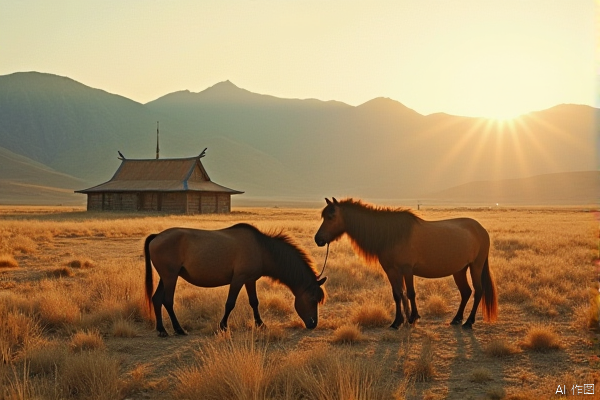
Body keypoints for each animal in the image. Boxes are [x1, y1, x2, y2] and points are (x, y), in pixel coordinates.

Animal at [144, 222, 328, 334]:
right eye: (313, 299)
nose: (313, 324)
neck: (262, 249)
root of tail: (157, 236)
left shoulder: (250, 280)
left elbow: (254, 302)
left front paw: (260, 324)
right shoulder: (238, 279)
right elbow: (230, 303)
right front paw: (223, 326)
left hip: (166, 277)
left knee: (157, 299)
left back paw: (161, 330)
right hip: (170, 277)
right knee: (167, 301)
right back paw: (178, 329)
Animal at [314, 198, 496, 330]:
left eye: (331, 217)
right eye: (323, 217)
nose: (318, 239)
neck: (391, 235)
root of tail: (481, 229)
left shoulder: (407, 270)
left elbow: (410, 293)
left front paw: (413, 317)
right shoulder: (391, 271)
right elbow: (397, 294)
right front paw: (397, 321)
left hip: (475, 266)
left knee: (478, 291)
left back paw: (468, 322)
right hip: (459, 270)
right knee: (466, 292)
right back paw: (457, 319)